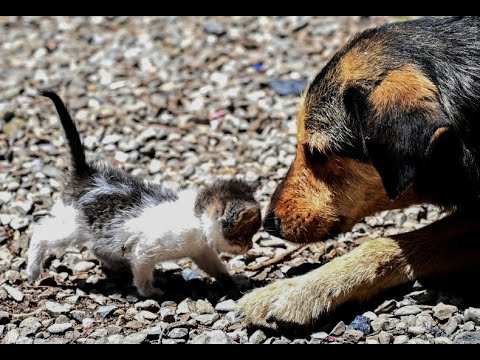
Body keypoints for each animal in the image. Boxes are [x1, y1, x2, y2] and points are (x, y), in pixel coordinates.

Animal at [27, 91, 262, 296]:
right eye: (245, 235)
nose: (250, 246)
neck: (196, 219)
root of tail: (86, 174)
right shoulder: (144, 251)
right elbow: (141, 274)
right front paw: (149, 292)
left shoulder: (201, 251)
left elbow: (216, 266)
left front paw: (231, 282)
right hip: (73, 225)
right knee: (41, 234)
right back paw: (32, 271)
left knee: (97, 247)